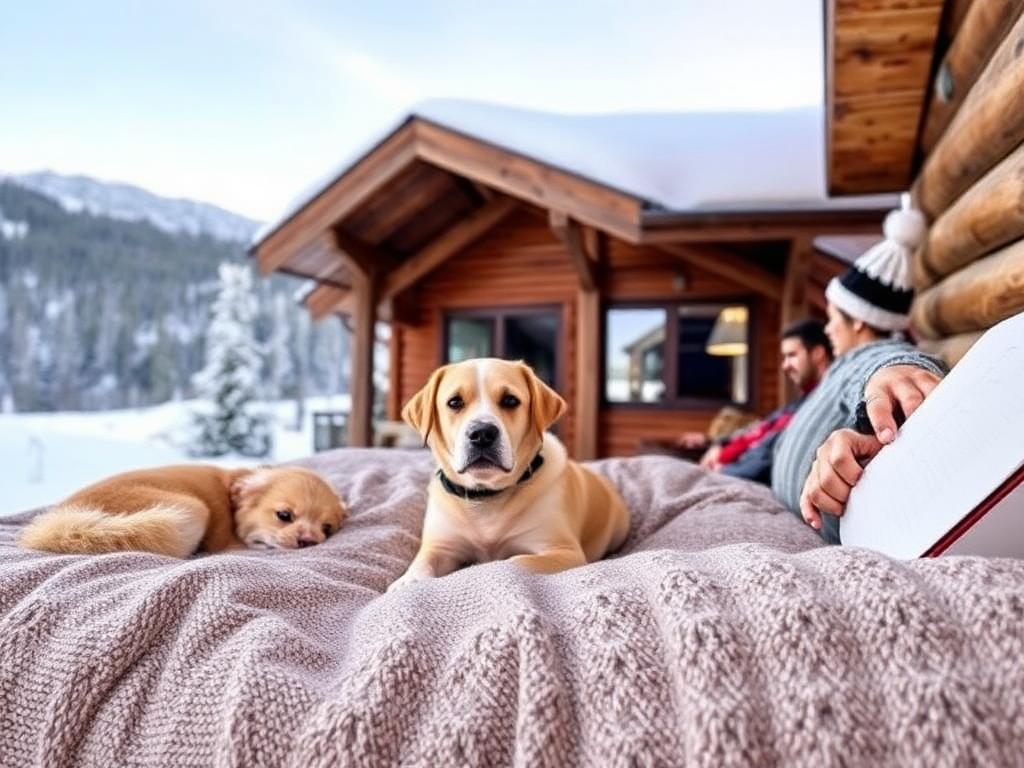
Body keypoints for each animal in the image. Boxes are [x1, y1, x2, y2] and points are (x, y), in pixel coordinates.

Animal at [389, 358, 630, 593]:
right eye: (455, 402)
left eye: (510, 400)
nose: (482, 433)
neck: (486, 497)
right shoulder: (440, 546)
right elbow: (422, 561)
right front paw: (407, 581)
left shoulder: (564, 550)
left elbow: (512, 562)